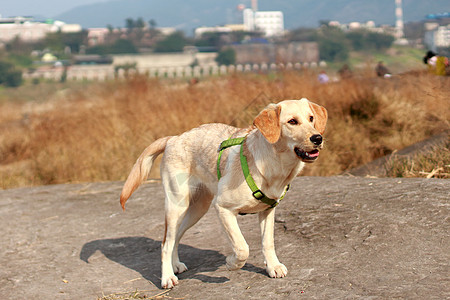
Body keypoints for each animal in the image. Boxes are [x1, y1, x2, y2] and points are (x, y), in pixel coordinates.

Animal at [121, 98, 328, 288]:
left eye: (311, 119)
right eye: (292, 121)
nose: (318, 138)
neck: (274, 165)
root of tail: (174, 138)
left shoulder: (267, 211)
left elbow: (267, 242)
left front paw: (273, 267)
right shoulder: (223, 208)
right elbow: (242, 247)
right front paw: (232, 263)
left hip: (197, 209)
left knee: (176, 237)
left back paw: (175, 265)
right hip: (177, 206)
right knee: (165, 243)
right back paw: (167, 277)